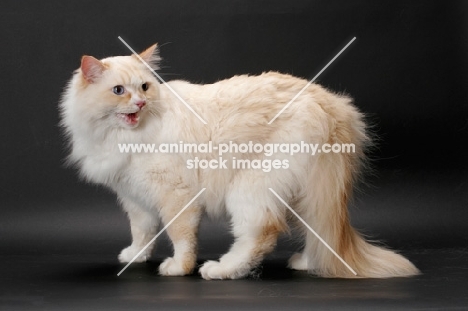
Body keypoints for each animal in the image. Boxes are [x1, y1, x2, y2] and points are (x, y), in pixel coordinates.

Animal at [59, 43, 420, 280]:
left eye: (145, 87)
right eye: (119, 90)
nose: (140, 103)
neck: (120, 136)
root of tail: (330, 104)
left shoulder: (175, 194)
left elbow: (180, 236)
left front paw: (179, 268)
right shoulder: (134, 197)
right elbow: (142, 232)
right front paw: (135, 256)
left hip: (251, 188)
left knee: (261, 234)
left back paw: (220, 269)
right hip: (307, 193)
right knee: (316, 229)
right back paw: (307, 262)